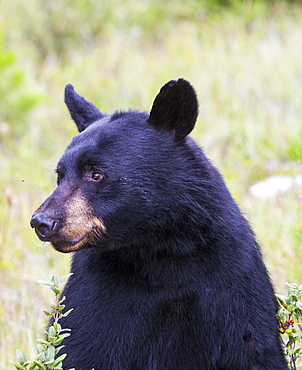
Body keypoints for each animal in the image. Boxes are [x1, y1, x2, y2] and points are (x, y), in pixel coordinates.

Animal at [30, 80, 288, 370]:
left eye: (96, 173)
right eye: (60, 175)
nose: (42, 221)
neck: (159, 252)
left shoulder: (232, 285)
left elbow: (254, 349)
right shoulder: (95, 292)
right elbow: (78, 347)